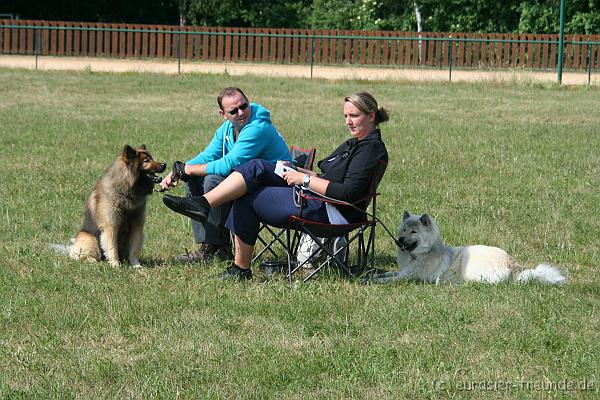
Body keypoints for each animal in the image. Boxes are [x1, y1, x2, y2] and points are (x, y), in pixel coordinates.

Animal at [366, 211, 568, 286]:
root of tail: (513, 264)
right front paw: (370, 275)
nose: (399, 240)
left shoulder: (409, 276)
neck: (422, 253)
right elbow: (386, 274)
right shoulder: (402, 271)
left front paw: (371, 281)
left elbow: (388, 280)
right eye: (403, 230)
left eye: (413, 232)